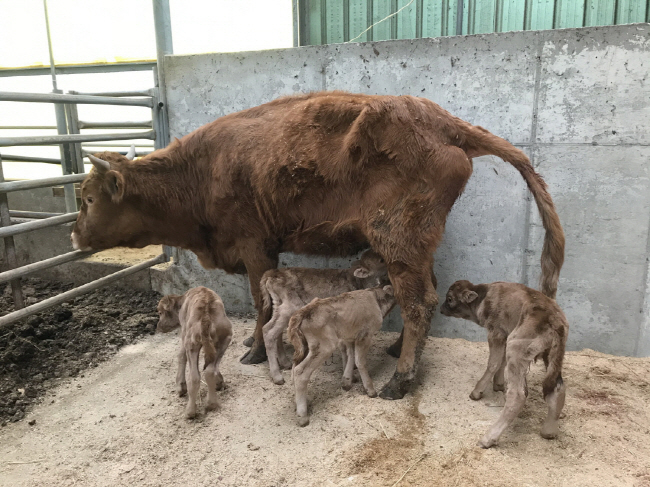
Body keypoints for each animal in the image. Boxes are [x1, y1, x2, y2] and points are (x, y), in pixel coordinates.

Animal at [68, 91, 560, 400]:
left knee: (419, 301)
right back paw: (397, 353)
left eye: (89, 198)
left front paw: (254, 352)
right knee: (425, 293)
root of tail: (443, 123)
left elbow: (260, 301)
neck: (202, 170)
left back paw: (399, 383)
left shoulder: (256, 248)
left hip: (399, 241)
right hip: (414, 245)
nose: (74, 235)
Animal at [157, 286, 233, 420]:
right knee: (210, 370)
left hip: (191, 342)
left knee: (194, 377)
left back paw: (190, 411)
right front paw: (219, 382)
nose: (158, 326)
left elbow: (181, 355)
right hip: (225, 337)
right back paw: (212, 403)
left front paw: (180, 387)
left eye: (160, 312)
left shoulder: (183, 332)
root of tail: (206, 313)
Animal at [288, 286, 394, 428]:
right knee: (300, 372)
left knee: (294, 368)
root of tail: (302, 312)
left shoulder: (350, 335)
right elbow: (360, 361)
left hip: (304, 348)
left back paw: (301, 402)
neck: (376, 299)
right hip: (325, 346)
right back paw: (303, 416)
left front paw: (348, 380)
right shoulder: (365, 335)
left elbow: (350, 355)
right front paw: (370, 390)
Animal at [436, 280, 568, 448]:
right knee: (558, 388)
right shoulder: (505, 334)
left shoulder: (496, 333)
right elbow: (501, 361)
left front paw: (476, 392)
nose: (441, 309)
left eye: (450, 299)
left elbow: (493, 363)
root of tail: (556, 323)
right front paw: (498, 385)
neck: (484, 296)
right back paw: (548, 432)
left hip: (516, 349)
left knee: (518, 395)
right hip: (550, 357)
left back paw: (487, 439)